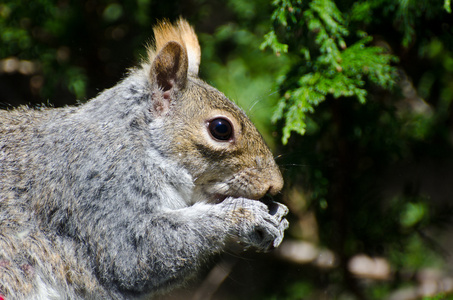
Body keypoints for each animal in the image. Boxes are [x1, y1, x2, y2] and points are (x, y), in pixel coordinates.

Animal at [0, 19, 288, 300]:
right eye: (221, 128)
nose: (275, 184)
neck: (139, 143)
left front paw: (279, 218)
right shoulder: (100, 188)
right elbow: (136, 255)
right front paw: (244, 215)